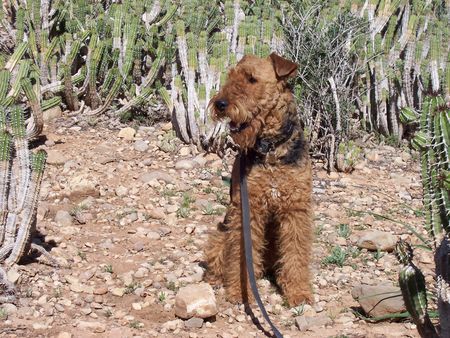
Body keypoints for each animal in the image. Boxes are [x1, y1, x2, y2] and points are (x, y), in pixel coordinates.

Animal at [204, 52, 312, 306]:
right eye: (231, 75)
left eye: (252, 79)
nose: (220, 104)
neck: (271, 149)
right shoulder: (248, 209)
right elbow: (242, 254)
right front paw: (239, 292)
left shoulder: (296, 209)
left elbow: (296, 252)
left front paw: (298, 292)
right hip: (221, 232)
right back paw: (214, 279)